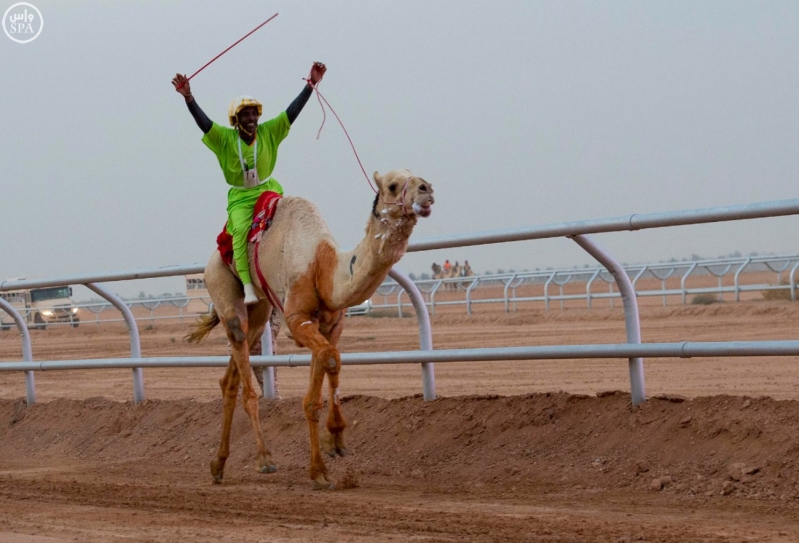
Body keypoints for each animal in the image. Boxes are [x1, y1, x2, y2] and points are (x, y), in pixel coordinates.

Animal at [186, 169, 438, 488]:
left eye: (418, 177)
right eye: (393, 185)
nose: (427, 190)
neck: (322, 265)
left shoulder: (331, 325)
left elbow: (316, 390)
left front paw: (322, 466)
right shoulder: (297, 320)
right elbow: (331, 358)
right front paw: (335, 440)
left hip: (260, 310)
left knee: (231, 376)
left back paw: (218, 465)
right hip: (222, 287)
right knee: (244, 374)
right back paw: (264, 459)